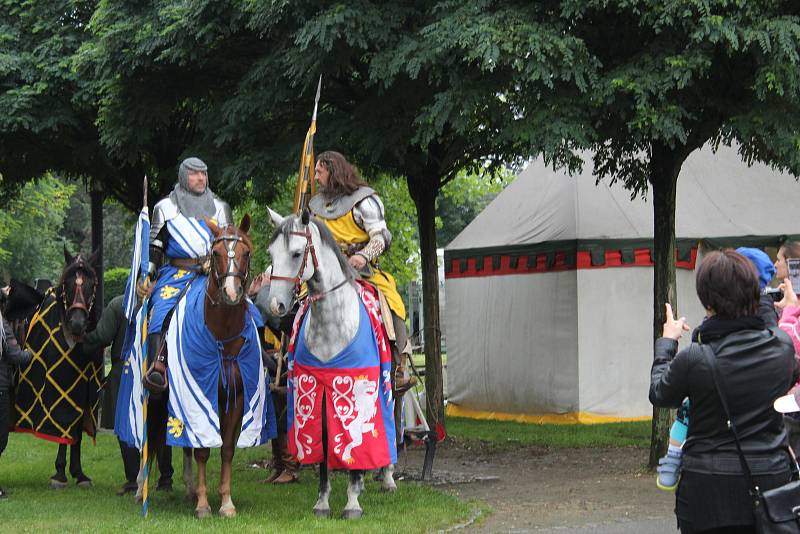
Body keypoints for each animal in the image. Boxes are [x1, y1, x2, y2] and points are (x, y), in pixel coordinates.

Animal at [268, 210, 396, 524]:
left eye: (296, 253)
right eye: (271, 254)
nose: (276, 306)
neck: (333, 324)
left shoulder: (351, 393)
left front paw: (352, 502)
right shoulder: (317, 393)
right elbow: (324, 444)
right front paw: (323, 502)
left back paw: (387, 477)